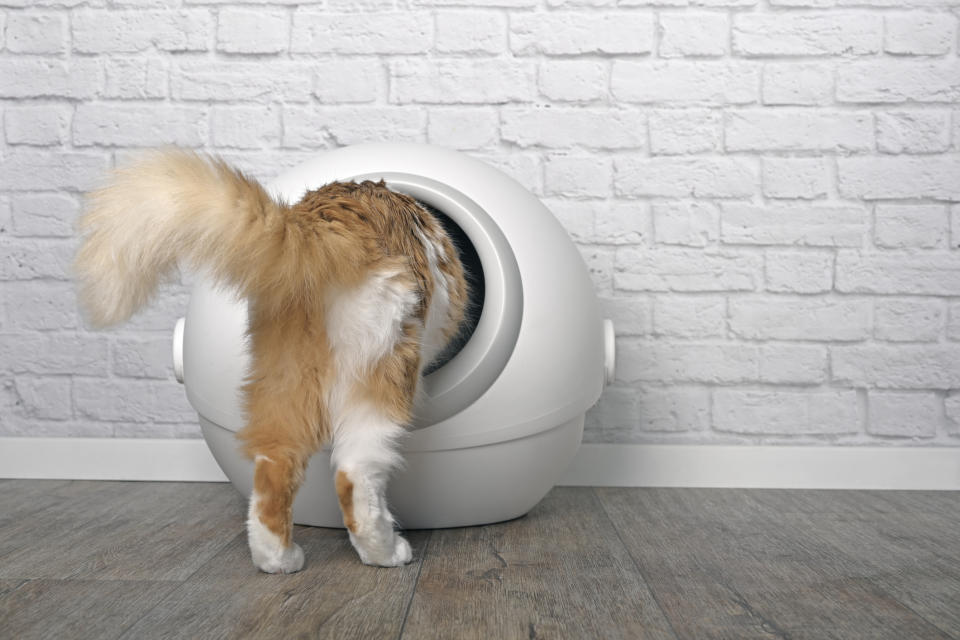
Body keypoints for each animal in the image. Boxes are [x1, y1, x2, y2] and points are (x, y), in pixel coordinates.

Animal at [73, 150, 466, 576]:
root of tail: (321, 222)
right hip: (382, 370)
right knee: (354, 473)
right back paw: (385, 553)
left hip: (283, 376)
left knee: (273, 468)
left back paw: (277, 560)